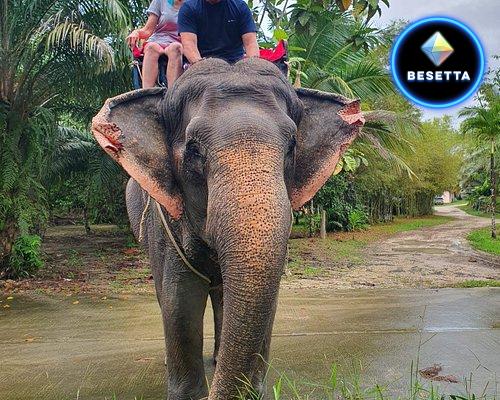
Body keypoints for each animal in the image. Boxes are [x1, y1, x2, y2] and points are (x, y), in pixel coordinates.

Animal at [91, 57, 364, 400]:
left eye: (292, 146)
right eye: (194, 149)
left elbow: (266, 303)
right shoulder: (164, 218)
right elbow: (179, 302)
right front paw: (189, 394)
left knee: (222, 291)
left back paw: (218, 357)